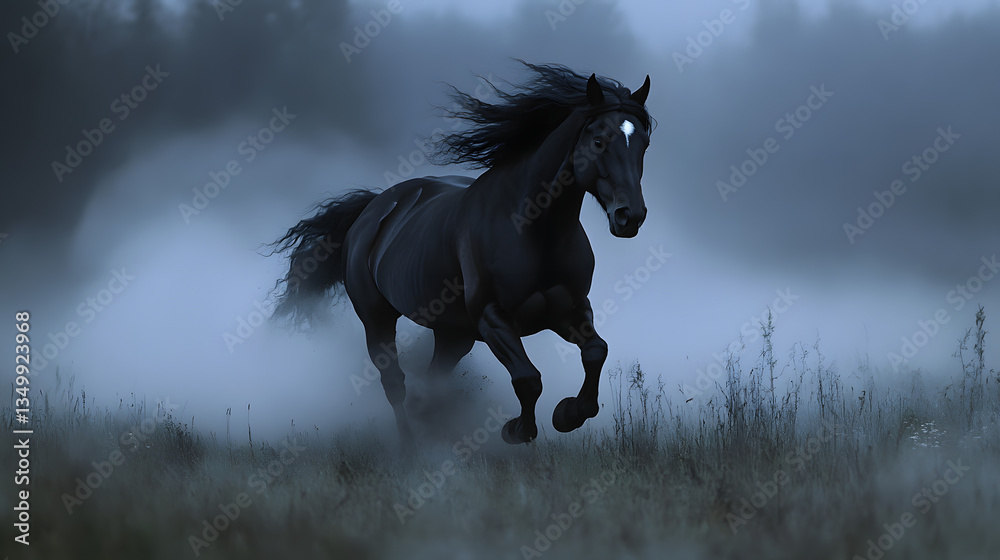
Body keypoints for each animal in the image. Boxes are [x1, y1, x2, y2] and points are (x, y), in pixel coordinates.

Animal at [271, 62, 652, 446]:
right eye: (599, 141)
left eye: (645, 144)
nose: (630, 216)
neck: (533, 230)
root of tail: (374, 208)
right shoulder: (492, 318)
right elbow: (528, 378)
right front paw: (517, 430)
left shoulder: (568, 309)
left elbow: (596, 352)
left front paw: (568, 414)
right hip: (377, 318)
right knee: (395, 383)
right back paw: (410, 444)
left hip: (453, 334)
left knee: (433, 381)